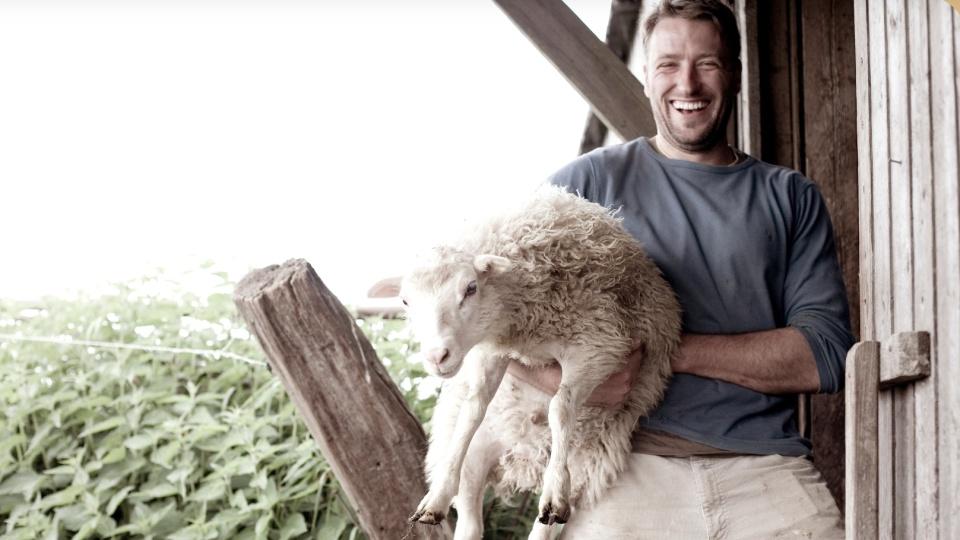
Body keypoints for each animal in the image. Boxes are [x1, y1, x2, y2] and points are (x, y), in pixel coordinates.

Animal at [399, 185, 681, 540]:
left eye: (471, 288)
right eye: (405, 301)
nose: (437, 356)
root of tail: (525, 459)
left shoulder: (600, 344)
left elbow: (560, 407)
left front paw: (555, 490)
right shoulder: (495, 348)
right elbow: (472, 409)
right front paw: (436, 494)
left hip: (584, 469)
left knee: (546, 522)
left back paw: (553, 494)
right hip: (475, 459)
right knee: (470, 521)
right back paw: (440, 500)